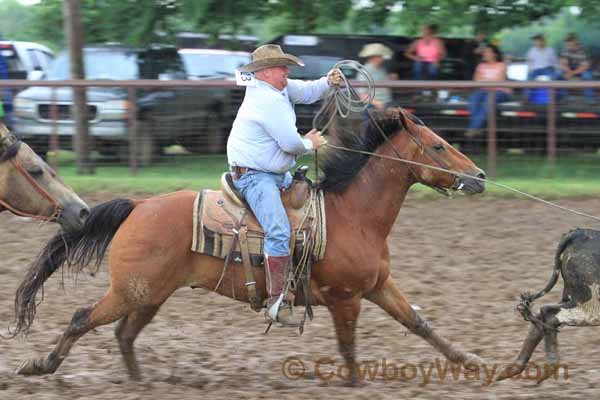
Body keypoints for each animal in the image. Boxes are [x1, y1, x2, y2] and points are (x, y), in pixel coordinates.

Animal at [14, 108, 488, 382]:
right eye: (438, 146)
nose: (480, 176)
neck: (353, 215)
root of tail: (140, 205)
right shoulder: (346, 298)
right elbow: (349, 348)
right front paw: (355, 383)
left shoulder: (377, 286)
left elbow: (419, 324)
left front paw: (473, 363)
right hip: (130, 291)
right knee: (82, 318)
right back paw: (42, 365)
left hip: (148, 294)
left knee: (124, 333)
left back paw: (139, 381)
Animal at [494, 227, 600, 382]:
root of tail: (578, 233)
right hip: (590, 304)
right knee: (548, 313)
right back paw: (550, 366)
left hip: (572, 298)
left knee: (539, 319)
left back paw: (512, 369)